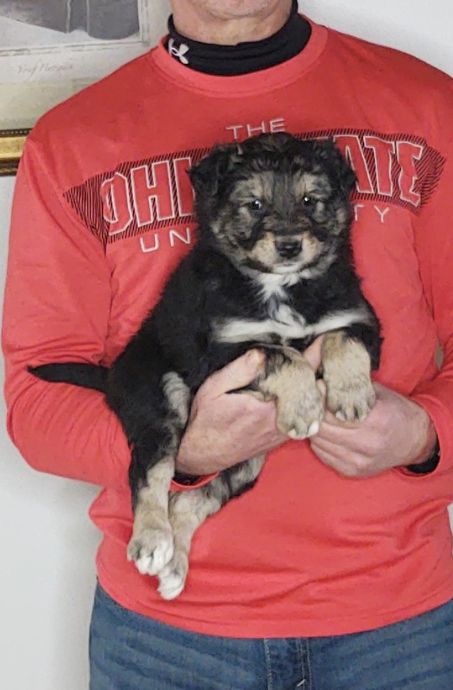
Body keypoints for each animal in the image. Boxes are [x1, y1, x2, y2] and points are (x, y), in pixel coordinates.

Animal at [30, 133, 380, 596]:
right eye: (254, 204)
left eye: (310, 200)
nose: (289, 246)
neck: (281, 285)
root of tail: (113, 375)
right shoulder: (221, 351)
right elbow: (280, 354)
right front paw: (306, 405)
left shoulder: (360, 320)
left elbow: (342, 339)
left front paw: (353, 397)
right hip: (162, 396)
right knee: (150, 471)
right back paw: (152, 541)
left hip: (248, 460)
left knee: (192, 499)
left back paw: (174, 568)